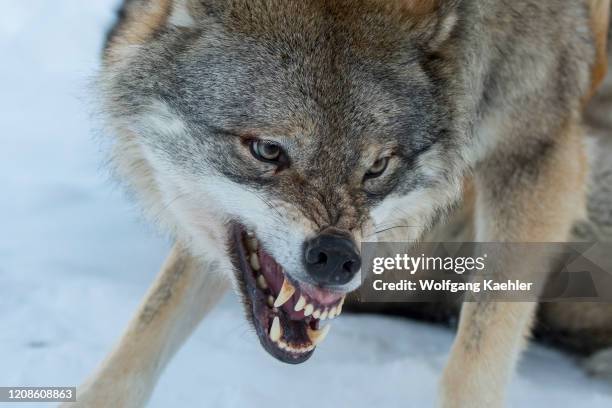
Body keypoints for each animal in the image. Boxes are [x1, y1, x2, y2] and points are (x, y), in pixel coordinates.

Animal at [67, 0, 612, 406]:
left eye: (377, 167)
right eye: (268, 150)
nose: (335, 258)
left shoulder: (537, 152)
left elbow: (477, 355)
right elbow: (149, 325)